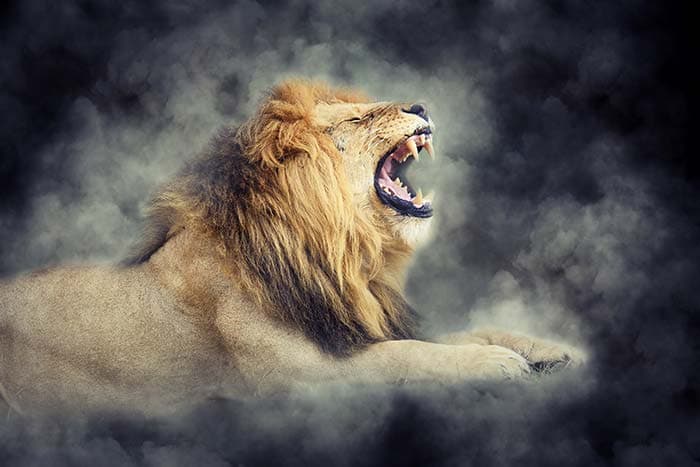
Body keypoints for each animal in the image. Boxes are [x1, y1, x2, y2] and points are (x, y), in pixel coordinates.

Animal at [0, 80, 583, 417]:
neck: (346, 256)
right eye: (356, 119)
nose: (420, 103)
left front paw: (549, 349)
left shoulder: (357, 324)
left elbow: (463, 331)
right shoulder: (310, 375)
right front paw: (497, 363)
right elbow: (413, 354)